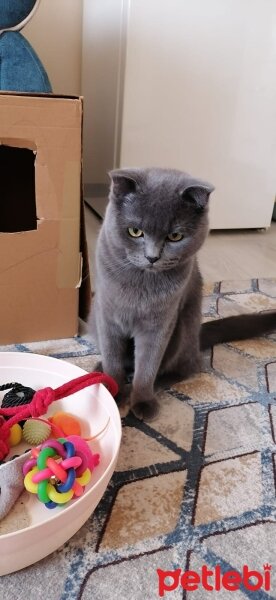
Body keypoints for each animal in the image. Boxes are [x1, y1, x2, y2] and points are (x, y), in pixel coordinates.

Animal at [89, 164, 274, 420]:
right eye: (135, 231)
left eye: (175, 236)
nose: (152, 257)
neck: (141, 283)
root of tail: (197, 338)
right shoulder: (107, 316)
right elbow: (112, 357)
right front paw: (111, 390)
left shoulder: (160, 323)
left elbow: (147, 366)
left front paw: (142, 401)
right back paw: (99, 370)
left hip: (182, 328)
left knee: (187, 367)